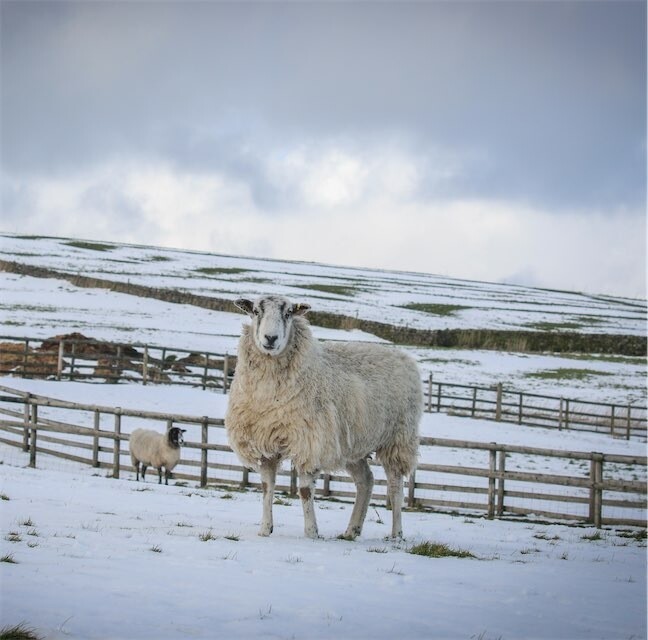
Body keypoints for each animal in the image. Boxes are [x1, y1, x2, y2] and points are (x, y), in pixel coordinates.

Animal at [225, 295, 422, 540]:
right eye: (255, 311)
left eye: (288, 313)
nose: (270, 338)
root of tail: (403, 356)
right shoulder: (266, 442)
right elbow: (266, 487)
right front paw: (265, 529)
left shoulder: (311, 442)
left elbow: (305, 490)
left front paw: (311, 532)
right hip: (353, 445)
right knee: (366, 481)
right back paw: (352, 531)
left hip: (397, 438)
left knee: (395, 487)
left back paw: (396, 535)